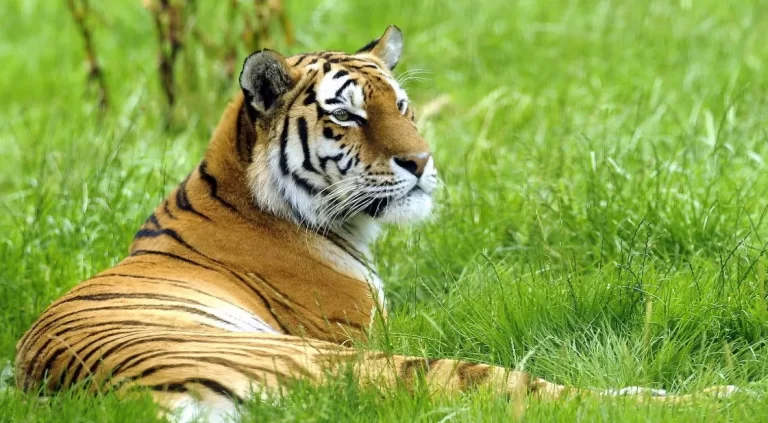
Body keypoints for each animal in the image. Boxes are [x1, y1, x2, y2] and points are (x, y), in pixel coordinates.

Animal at [15, 26, 737, 422]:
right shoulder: (366, 333)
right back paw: (716, 393)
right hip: (356, 367)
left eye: (403, 105)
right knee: (541, 392)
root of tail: (112, 399)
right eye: (349, 114)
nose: (422, 161)